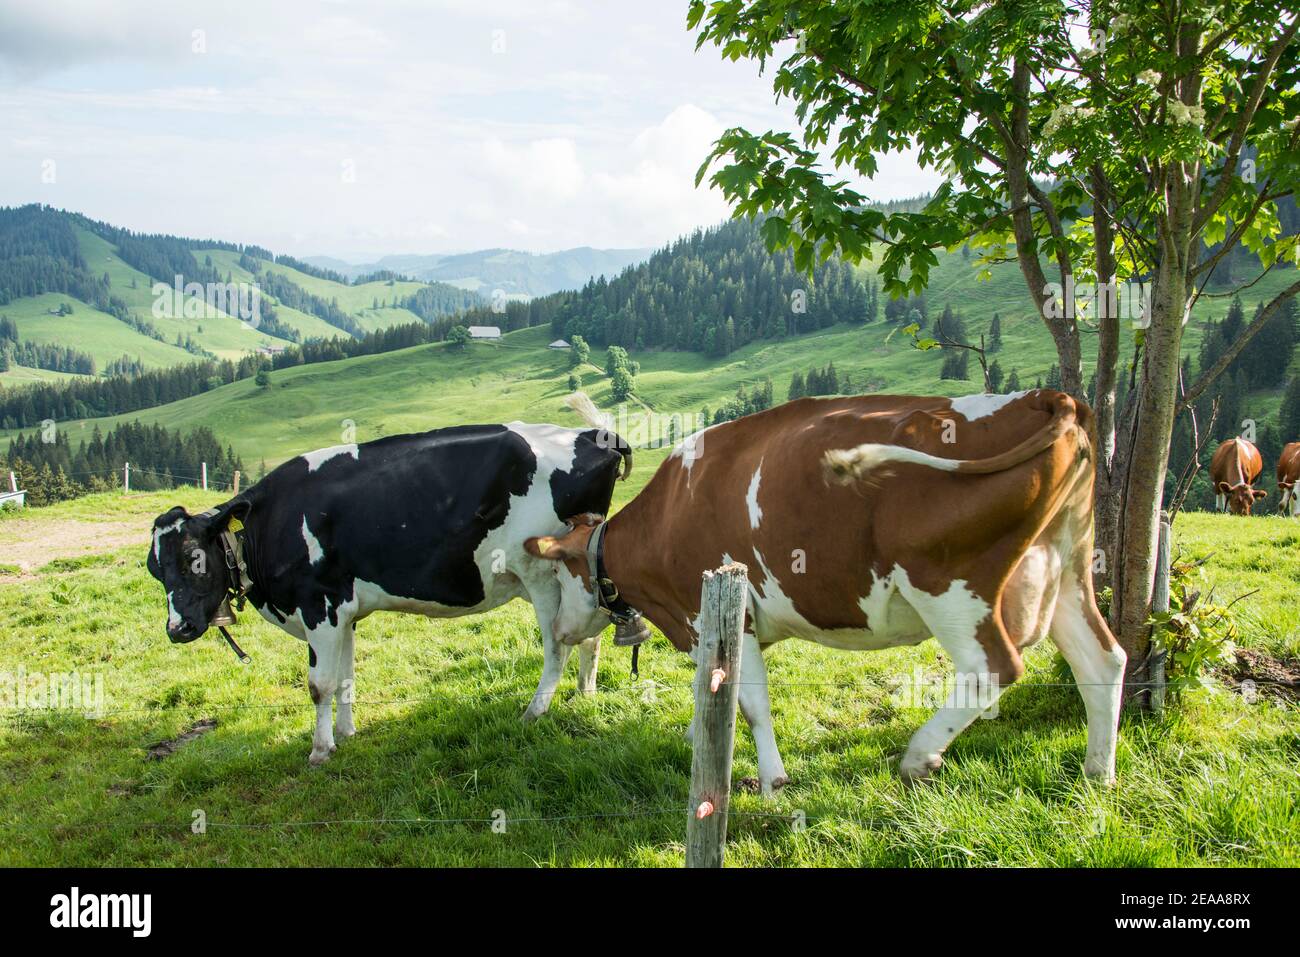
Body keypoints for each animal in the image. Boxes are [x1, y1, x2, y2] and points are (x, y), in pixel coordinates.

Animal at [147, 407, 632, 765]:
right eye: (155, 569)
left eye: (194, 560)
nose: (177, 629)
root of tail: (593, 435)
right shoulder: (343, 612)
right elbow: (345, 675)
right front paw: (346, 733)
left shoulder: (318, 606)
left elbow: (319, 683)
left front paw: (320, 750)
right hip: (576, 581)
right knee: (587, 635)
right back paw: (584, 693)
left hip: (542, 575)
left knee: (558, 645)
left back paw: (534, 710)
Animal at [524, 389, 1127, 791]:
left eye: (560, 572)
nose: (558, 630)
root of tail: (1046, 397)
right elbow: (711, 696)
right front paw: (703, 744)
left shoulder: (725, 614)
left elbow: (752, 703)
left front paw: (772, 781)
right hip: (1068, 567)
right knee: (1103, 662)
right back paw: (1098, 775)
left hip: (948, 583)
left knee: (991, 669)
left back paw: (919, 757)